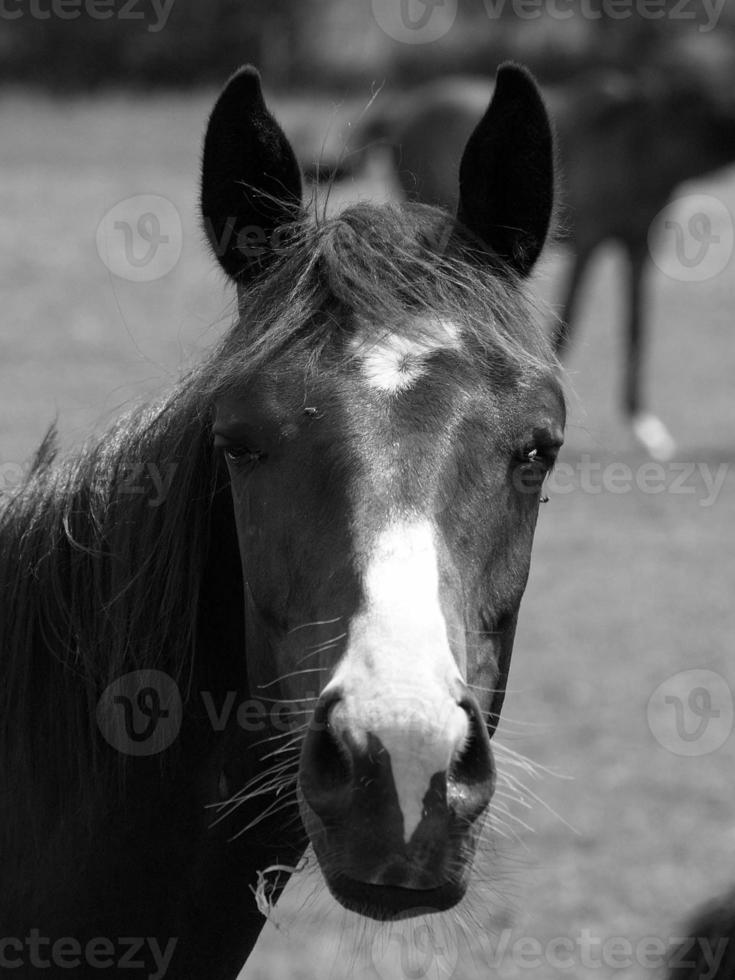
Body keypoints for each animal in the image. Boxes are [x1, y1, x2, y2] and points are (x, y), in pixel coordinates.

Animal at [320, 69, 735, 460]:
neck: (643, 140)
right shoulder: (591, 241)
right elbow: (568, 325)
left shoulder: (638, 245)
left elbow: (636, 329)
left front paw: (647, 429)